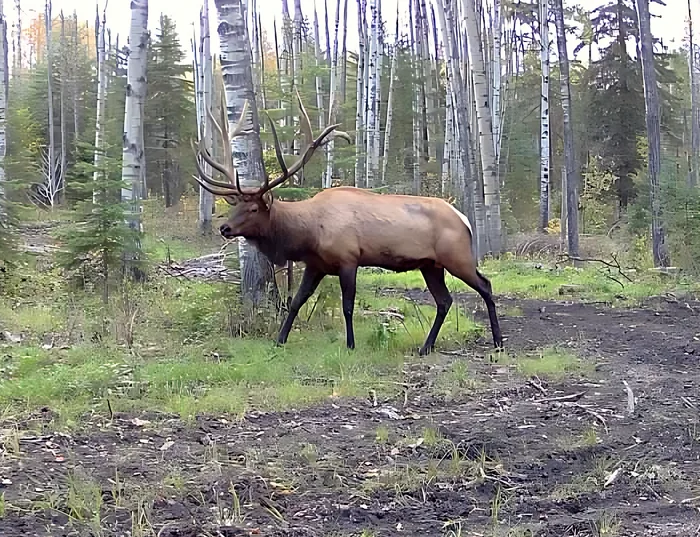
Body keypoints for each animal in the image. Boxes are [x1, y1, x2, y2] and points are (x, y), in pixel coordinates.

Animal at [193, 91, 503, 357]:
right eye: (236, 205)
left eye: (254, 207)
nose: (225, 228)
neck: (308, 234)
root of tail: (464, 219)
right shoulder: (316, 264)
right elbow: (296, 301)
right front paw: (280, 340)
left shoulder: (348, 259)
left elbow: (348, 306)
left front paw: (351, 344)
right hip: (431, 265)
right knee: (444, 300)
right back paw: (426, 347)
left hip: (456, 256)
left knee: (485, 284)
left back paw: (498, 341)